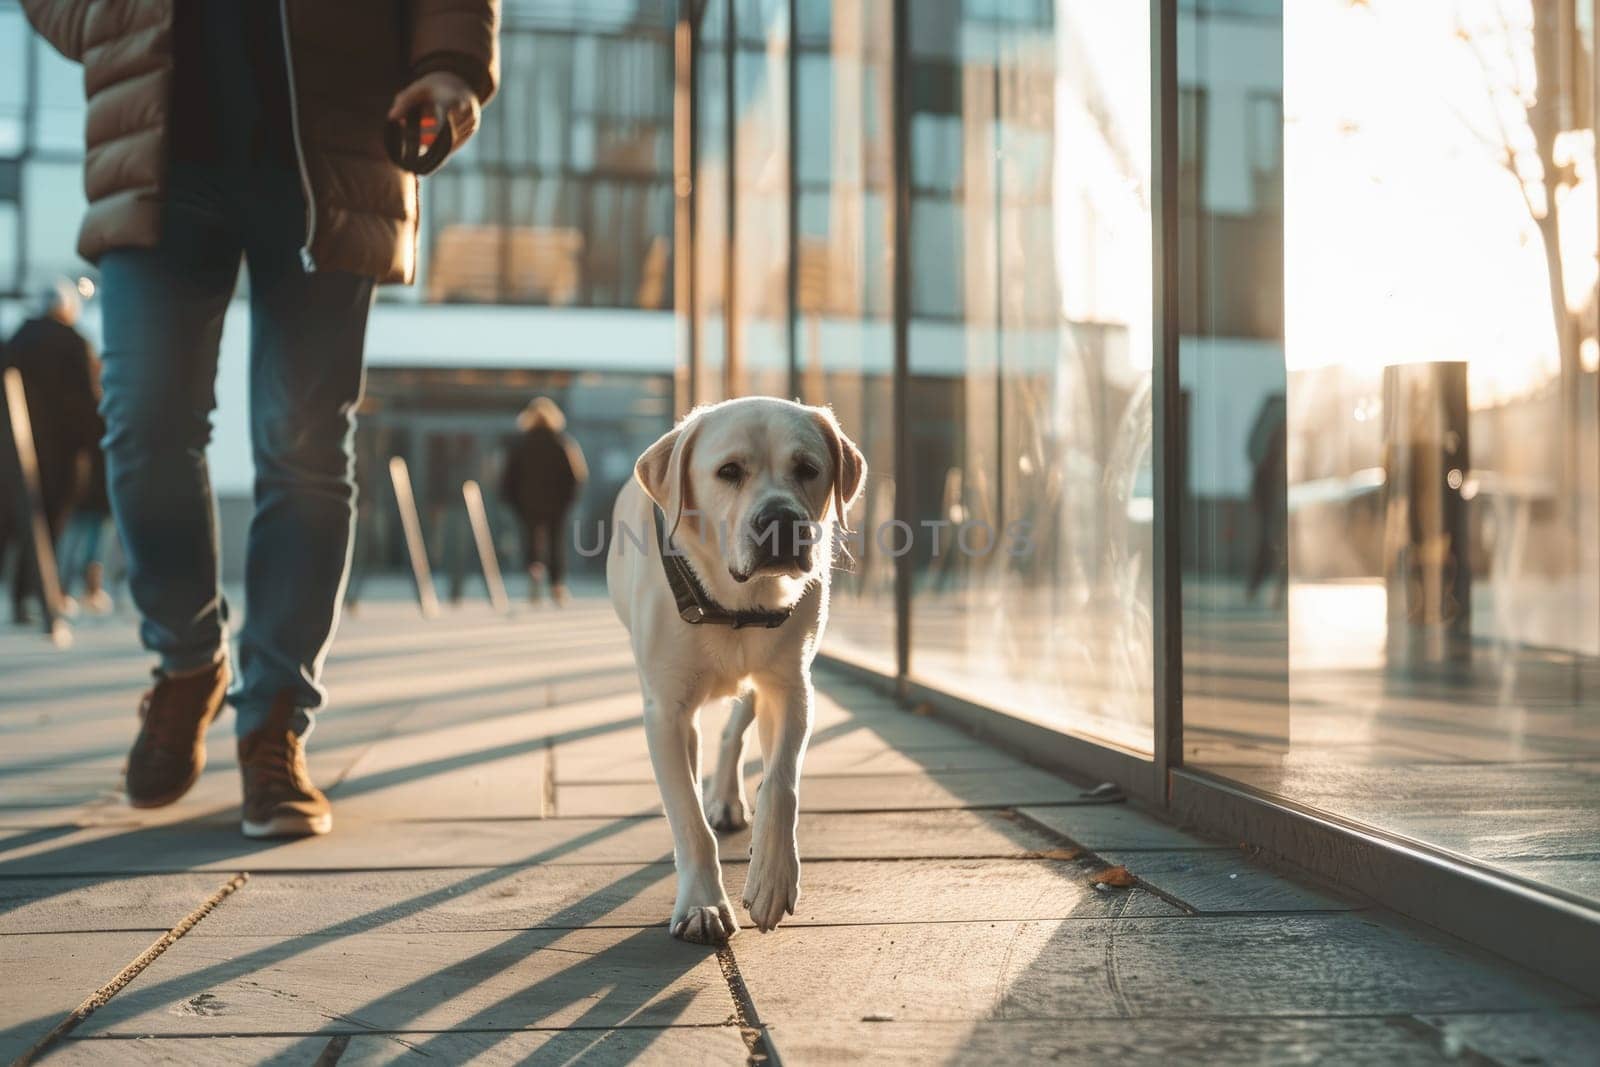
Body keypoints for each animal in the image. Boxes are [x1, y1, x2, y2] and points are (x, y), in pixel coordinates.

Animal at [608, 398, 864, 940]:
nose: (782, 520)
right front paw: (702, 903)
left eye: (807, 468)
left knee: (732, 733)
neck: (733, 605)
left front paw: (771, 878)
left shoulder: (791, 688)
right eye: (728, 471)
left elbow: (781, 784)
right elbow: (687, 818)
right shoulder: (664, 712)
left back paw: (726, 799)